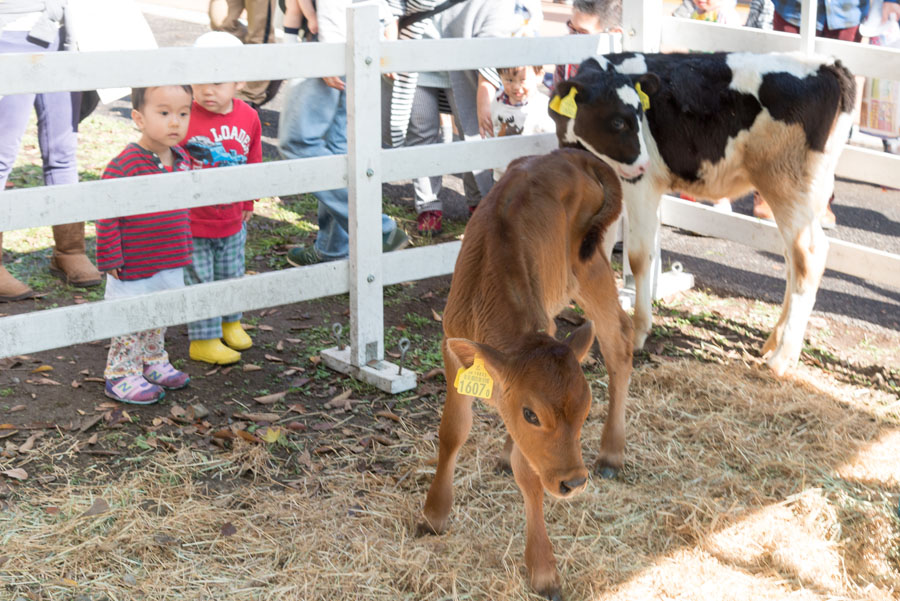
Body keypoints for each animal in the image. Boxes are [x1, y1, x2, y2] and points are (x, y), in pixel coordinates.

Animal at [416, 148, 632, 596]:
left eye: (586, 412)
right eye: (531, 414)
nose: (574, 483)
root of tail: (572, 154)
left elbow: (528, 471)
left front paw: (543, 569)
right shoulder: (452, 349)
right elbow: (453, 432)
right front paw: (434, 514)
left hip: (591, 266)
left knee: (620, 341)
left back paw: (612, 452)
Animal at [552, 54, 856, 378]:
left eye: (639, 115)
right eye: (618, 121)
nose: (643, 162)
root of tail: (829, 65)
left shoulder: (640, 185)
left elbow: (638, 256)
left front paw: (638, 332)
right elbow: (597, 252)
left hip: (787, 185)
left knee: (809, 256)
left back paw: (781, 359)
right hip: (806, 194)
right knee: (791, 259)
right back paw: (772, 342)